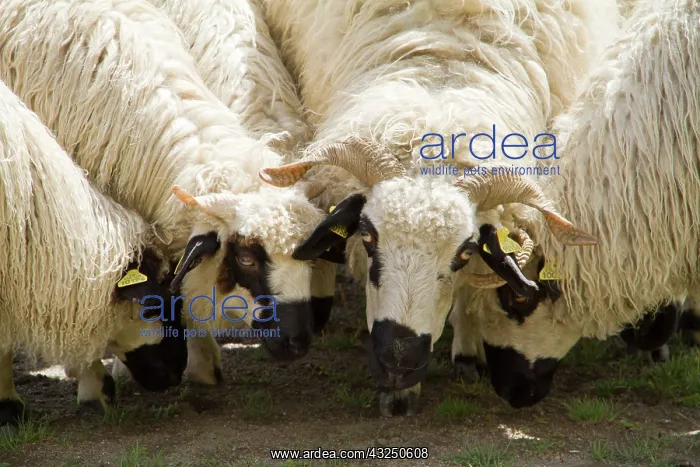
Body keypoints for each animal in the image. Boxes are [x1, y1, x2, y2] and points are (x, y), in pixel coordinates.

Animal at [257, 0, 616, 416]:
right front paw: (399, 393)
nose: (399, 358)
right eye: (367, 236)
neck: (445, 59)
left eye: (465, 253)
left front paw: (461, 354)